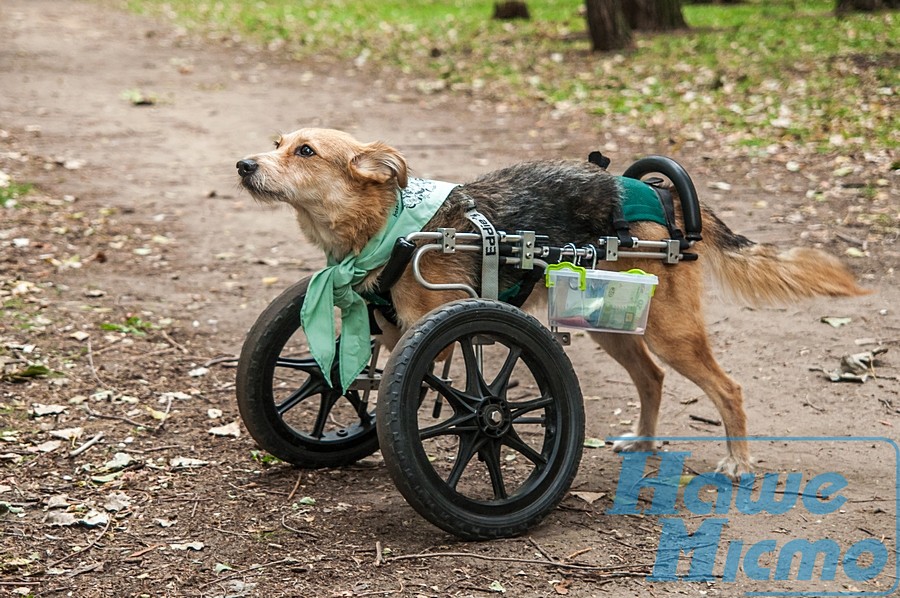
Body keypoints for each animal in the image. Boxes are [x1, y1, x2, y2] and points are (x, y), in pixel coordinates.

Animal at [236, 126, 868, 478]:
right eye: (275, 145)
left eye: (305, 151)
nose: (243, 165)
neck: (388, 227)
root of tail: (664, 198)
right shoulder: (386, 331)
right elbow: (357, 376)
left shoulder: (432, 337)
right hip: (612, 324)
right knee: (652, 379)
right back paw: (644, 440)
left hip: (668, 331)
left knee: (727, 388)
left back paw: (738, 462)